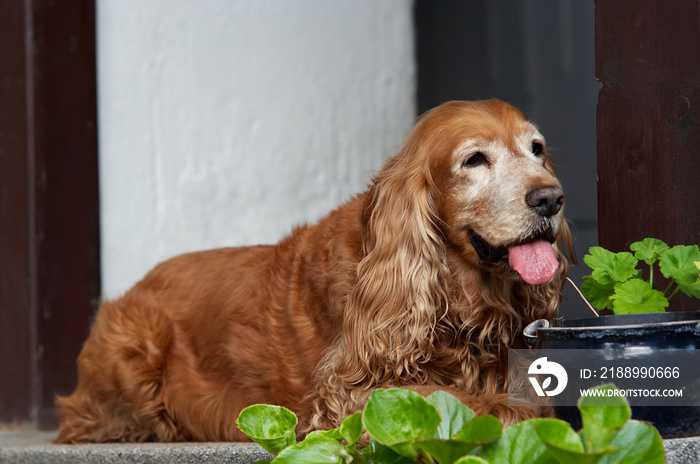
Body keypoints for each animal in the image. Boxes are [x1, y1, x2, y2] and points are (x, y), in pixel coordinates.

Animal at [53, 100, 568, 442]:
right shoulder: (350, 396)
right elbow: (469, 402)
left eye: (537, 149)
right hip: (134, 346)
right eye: (474, 159)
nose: (551, 198)